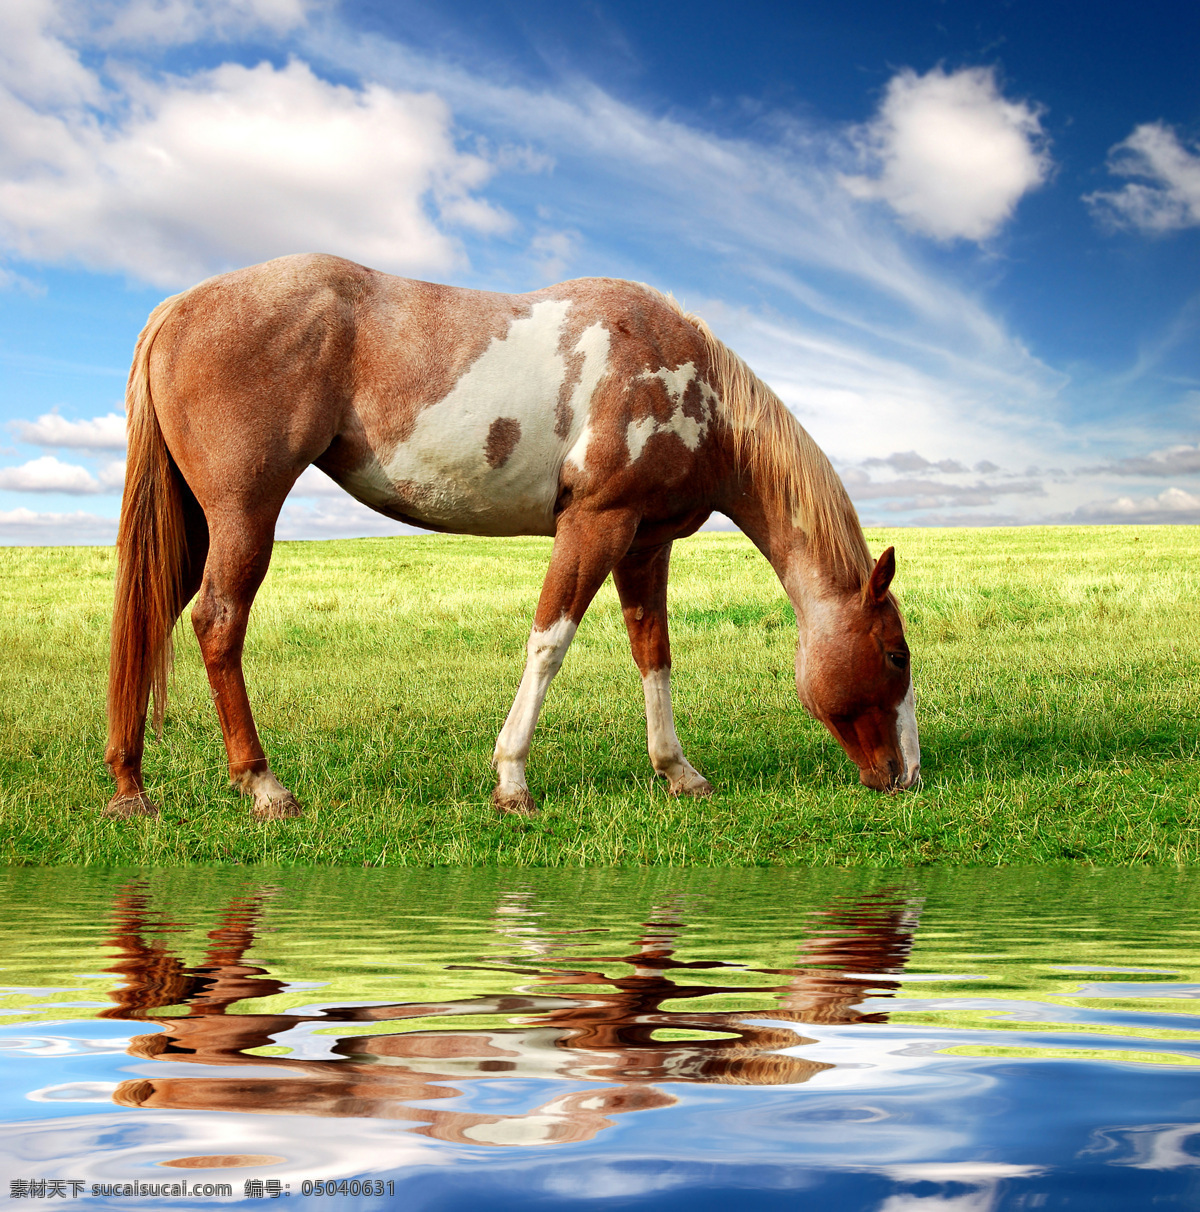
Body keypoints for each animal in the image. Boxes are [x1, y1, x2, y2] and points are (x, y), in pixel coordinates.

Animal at [105, 255, 921, 824]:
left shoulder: (644, 543)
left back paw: (130, 787)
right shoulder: (595, 525)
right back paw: (265, 787)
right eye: (895, 655)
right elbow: (549, 643)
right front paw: (512, 780)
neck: (692, 386)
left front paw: (677, 772)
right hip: (244, 514)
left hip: (195, 527)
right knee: (218, 623)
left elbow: (653, 654)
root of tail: (178, 307)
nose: (909, 776)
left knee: (149, 621)